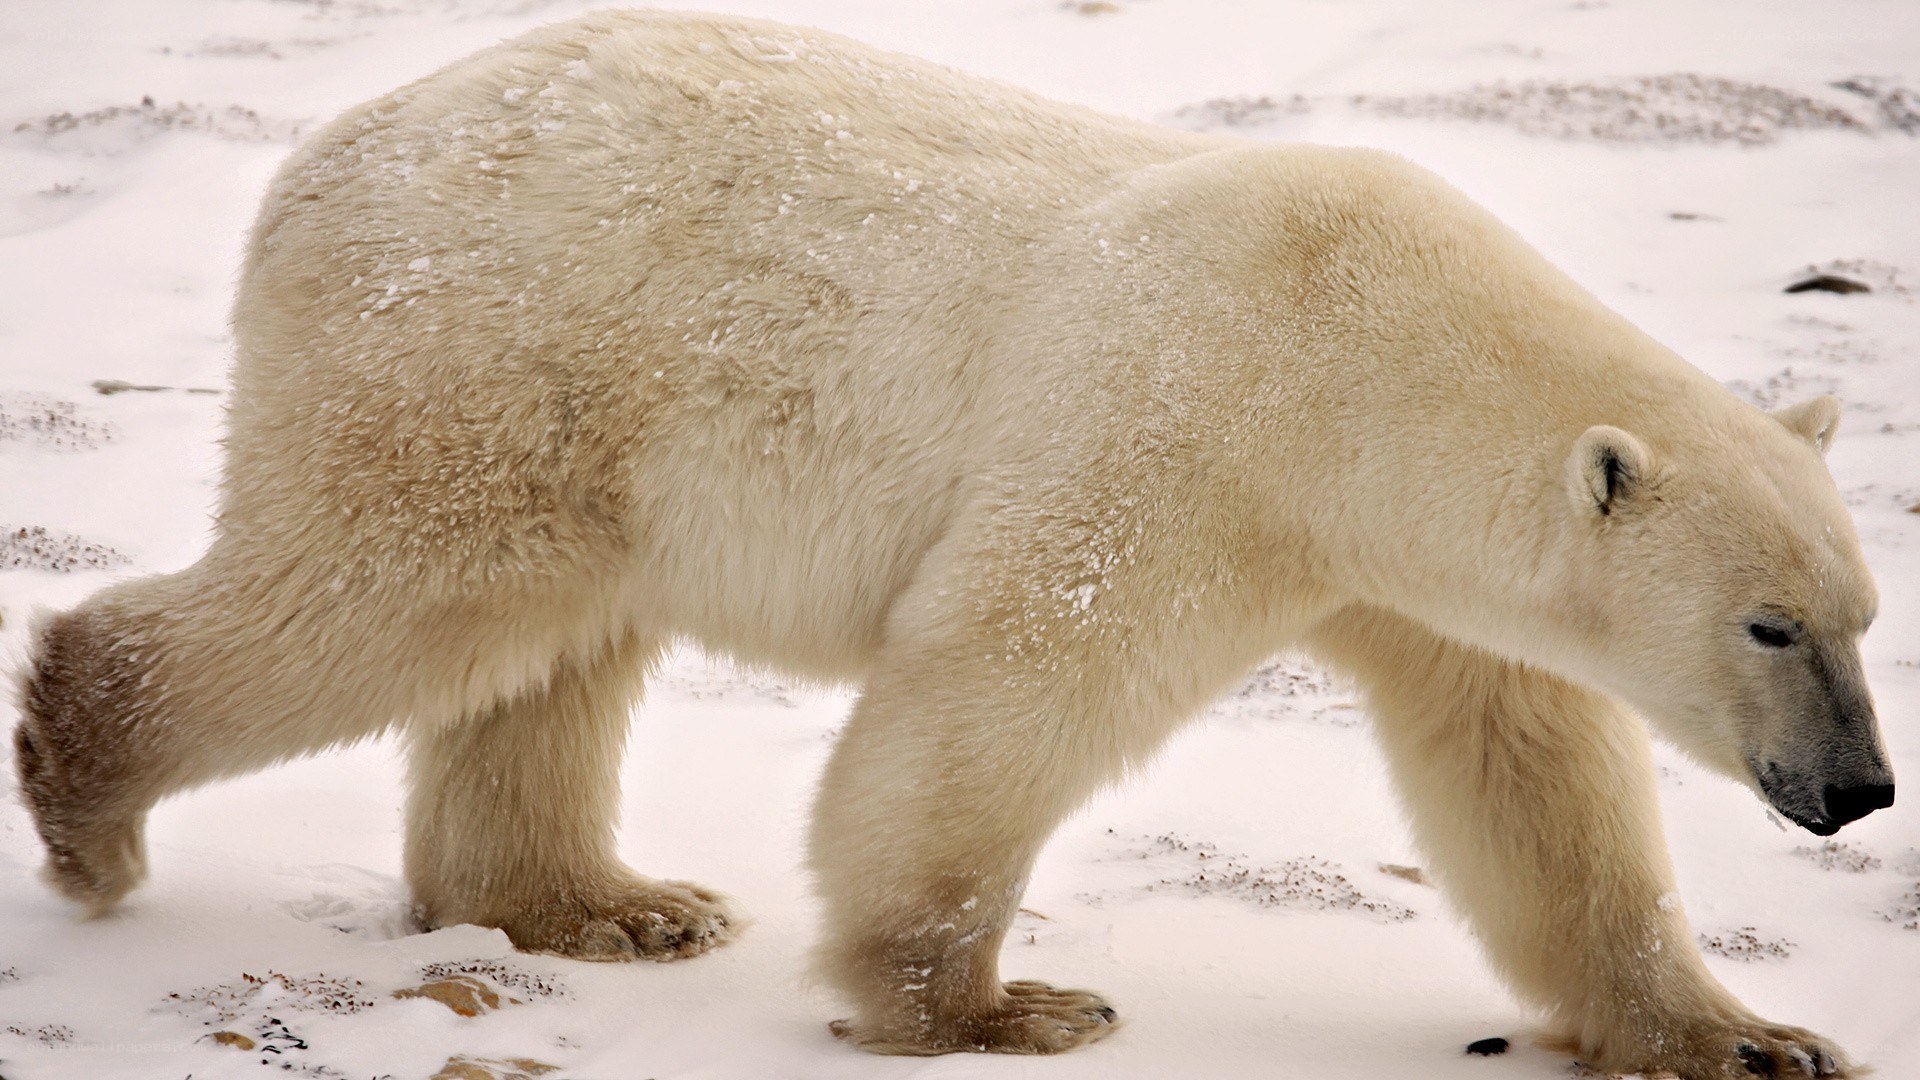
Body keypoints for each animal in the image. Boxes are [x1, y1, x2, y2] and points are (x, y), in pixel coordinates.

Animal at [11, 10, 1892, 1078]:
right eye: (1769, 627)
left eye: (1864, 614)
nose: (1861, 790)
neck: (1364, 351)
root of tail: (321, 156)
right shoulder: (1185, 427)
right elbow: (1005, 681)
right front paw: (993, 1009)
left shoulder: (1415, 571)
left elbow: (1534, 782)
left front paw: (1748, 1041)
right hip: (490, 345)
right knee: (391, 591)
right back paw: (92, 802)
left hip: (576, 412)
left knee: (549, 653)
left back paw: (607, 906)